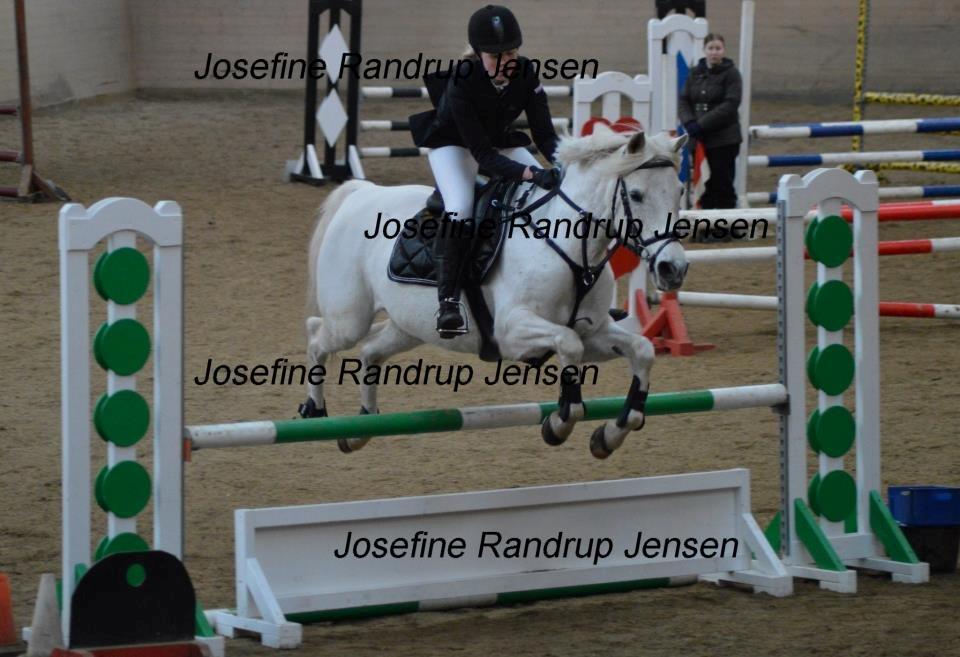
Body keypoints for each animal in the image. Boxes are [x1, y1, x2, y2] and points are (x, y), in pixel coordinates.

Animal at [301, 127, 688, 458]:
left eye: (679, 191)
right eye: (636, 195)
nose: (674, 269)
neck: (569, 248)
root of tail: (362, 192)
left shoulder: (594, 332)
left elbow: (641, 350)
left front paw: (610, 434)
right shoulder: (511, 331)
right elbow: (568, 347)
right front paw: (559, 422)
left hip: (408, 327)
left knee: (369, 351)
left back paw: (360, 428)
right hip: (349, 318)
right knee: (317, 336)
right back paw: (314, 409)